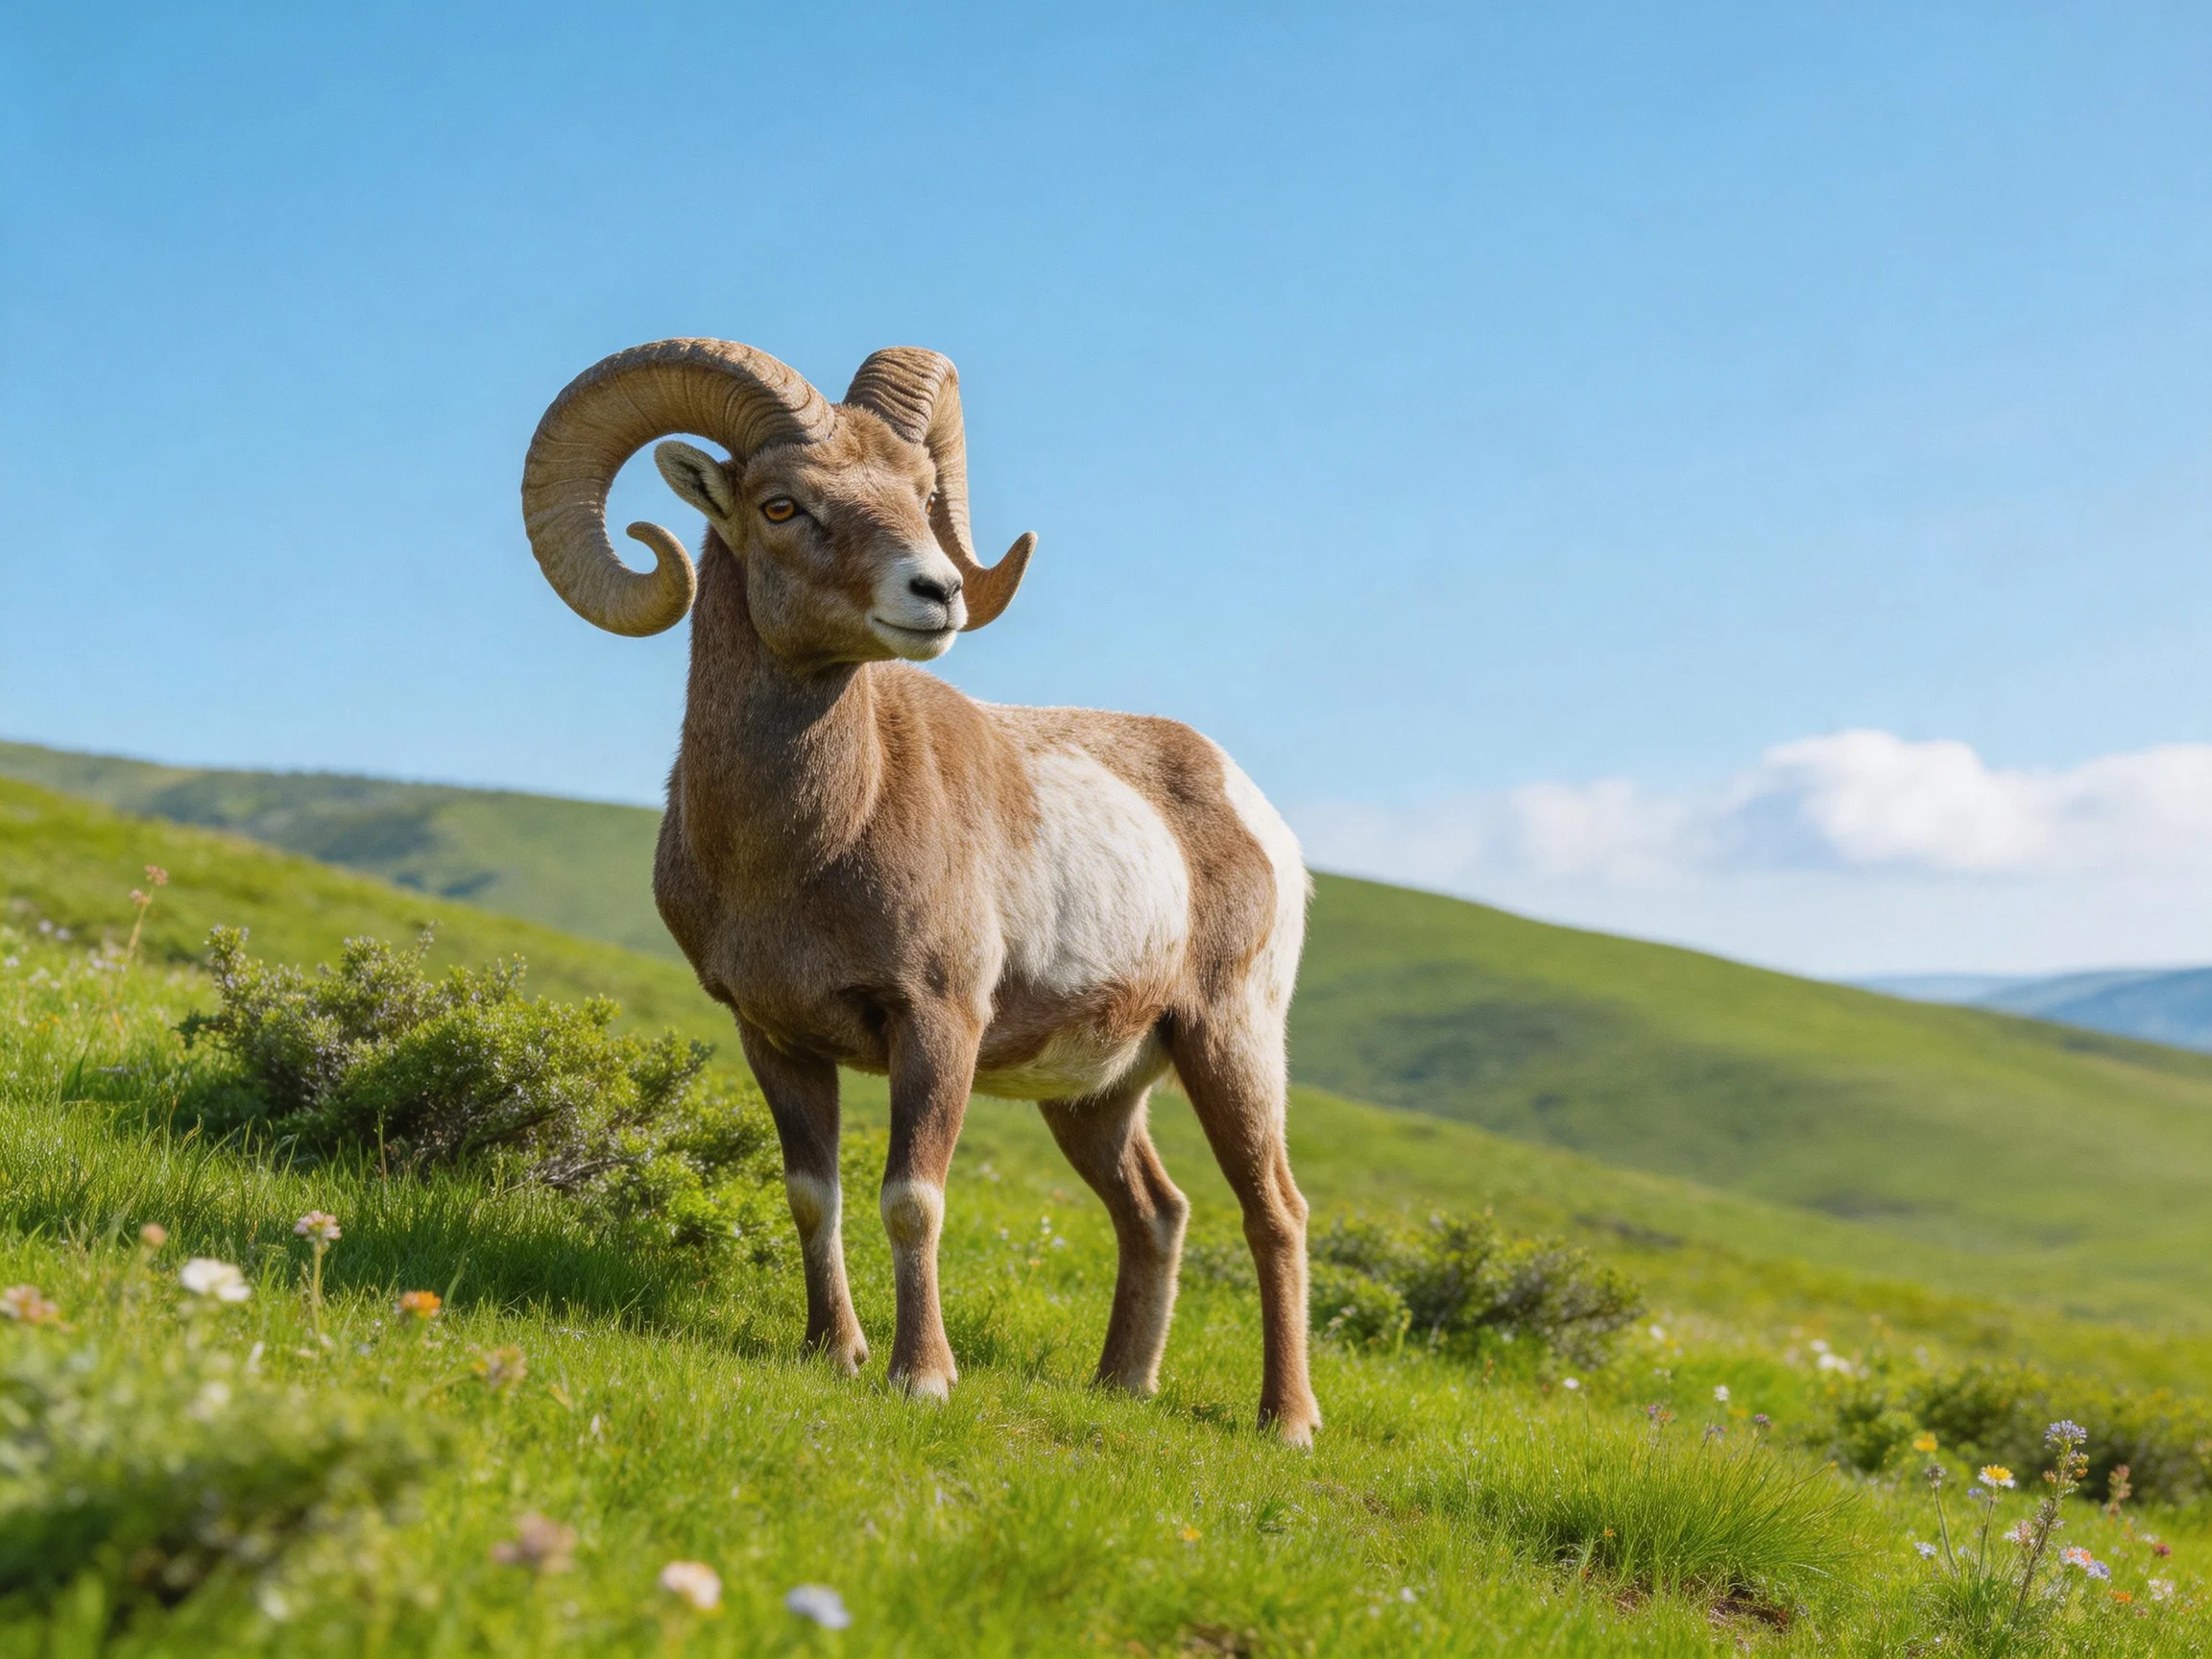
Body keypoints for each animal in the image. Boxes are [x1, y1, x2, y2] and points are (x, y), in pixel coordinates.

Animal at [520, 339, 1318, 1443]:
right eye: (782, 505)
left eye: (920, 496)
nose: (935, 593)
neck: (804, 850)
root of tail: (1256, 811)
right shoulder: (773, 1037)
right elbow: (813, 1194)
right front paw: (835, 1352)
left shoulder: (936, 1024)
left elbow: (913, 1200)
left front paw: (923, 1376)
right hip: (1096, 1098)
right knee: (1155, 1213)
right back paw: (1120, 1385)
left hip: (1230, 1043)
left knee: (1274, 1211)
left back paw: (1286, 1421)